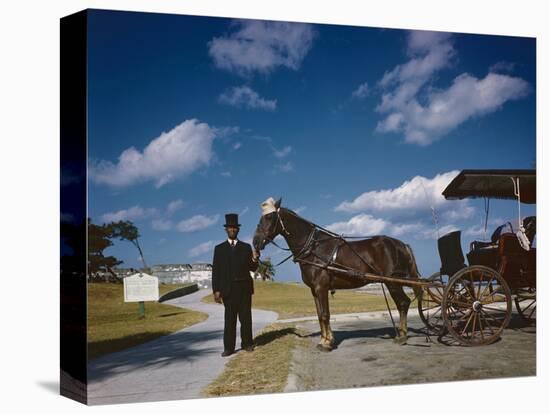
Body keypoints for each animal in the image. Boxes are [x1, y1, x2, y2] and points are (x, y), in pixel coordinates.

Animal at [252, 196, 424, 350]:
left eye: (269, 217)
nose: (255, 242)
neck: (314, 248)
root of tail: (401, 245)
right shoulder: (314, 290)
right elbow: (320, 315)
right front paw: (324, 339)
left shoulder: (321, 287)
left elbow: (325, 314)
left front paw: (327, 343)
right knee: (403, 303)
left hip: (392, 282)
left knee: (403, 303)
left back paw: (402, 336)